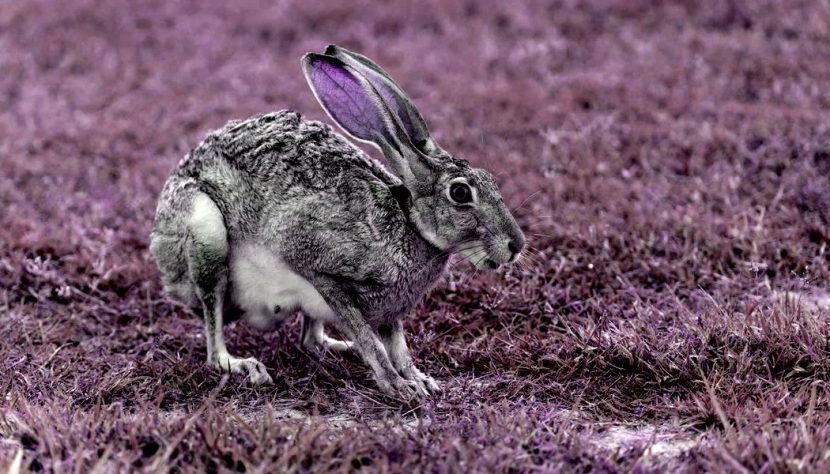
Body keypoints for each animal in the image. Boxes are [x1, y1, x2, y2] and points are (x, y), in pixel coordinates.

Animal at [149, 44, 525, 398]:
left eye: (490, 180)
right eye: (460, 193)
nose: (516, 245)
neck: (409, 224)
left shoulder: (390, 312)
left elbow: (398, 346)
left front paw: (420, 380)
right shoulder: (321, 269)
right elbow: (370, 340)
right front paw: (398, 386)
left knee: (311, 339)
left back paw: (338, 347)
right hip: (206, 234)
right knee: (213, 327)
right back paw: (241, 364)